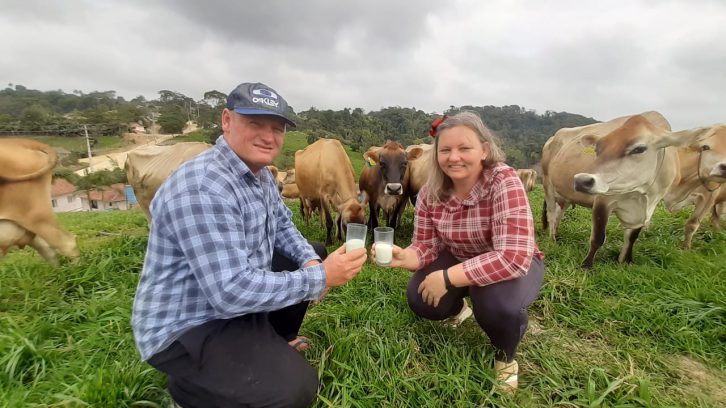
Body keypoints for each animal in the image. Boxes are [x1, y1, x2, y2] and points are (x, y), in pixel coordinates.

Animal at [544, 111, 712, 270]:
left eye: (639, 149)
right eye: (597, 149)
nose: (581, 180)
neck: (641, 193)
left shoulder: (647, 209)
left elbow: (632, 237)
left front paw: (625, 261)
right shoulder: (603, 201)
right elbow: (598, 238)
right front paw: (586, 266)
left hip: (565, 195)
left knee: (559, 213)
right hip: (548, 186)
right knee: (551, 214)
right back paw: (552, 239)